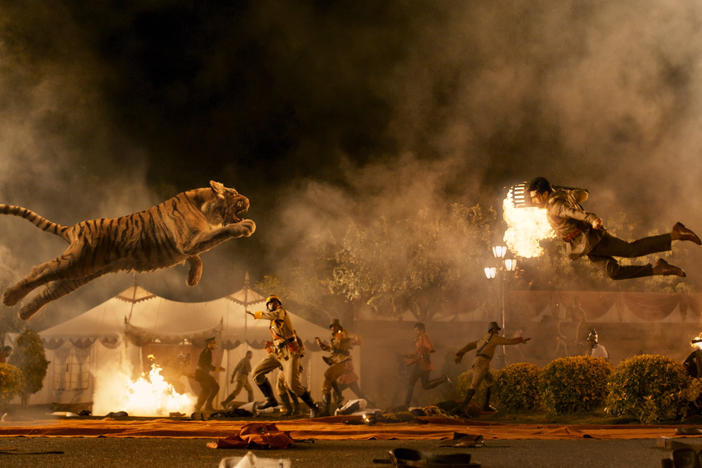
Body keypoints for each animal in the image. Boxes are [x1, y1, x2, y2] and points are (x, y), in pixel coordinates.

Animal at [0, 181, 258, 320]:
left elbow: (198, 258)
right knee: (41, 270)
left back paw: (24, 312)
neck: (206, 205)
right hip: (75, 260)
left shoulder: (189, 245)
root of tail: (74, 227)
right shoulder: (190, 241)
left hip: (78, 274)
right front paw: (246, 226)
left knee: (49, 290)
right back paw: (10, 297)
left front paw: (193, 278)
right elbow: (220, 234)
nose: (248, 199)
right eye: (234, 194)